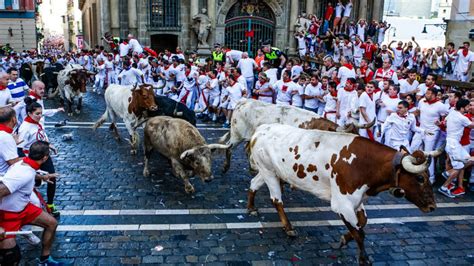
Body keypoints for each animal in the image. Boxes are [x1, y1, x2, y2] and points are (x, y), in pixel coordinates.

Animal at [248, 123, 440, 264]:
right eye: (420, 178)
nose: (432, 206)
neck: (365, 164)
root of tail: (261, 129)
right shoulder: (342, 204)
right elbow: (360, 233)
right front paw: (363, 259)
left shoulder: (357, 200)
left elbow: (362, 222)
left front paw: (344, 239)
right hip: (268, 172)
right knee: (276, 200)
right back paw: (288, 228)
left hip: (269, 171)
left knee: (253, 184)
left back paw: (251, 207)